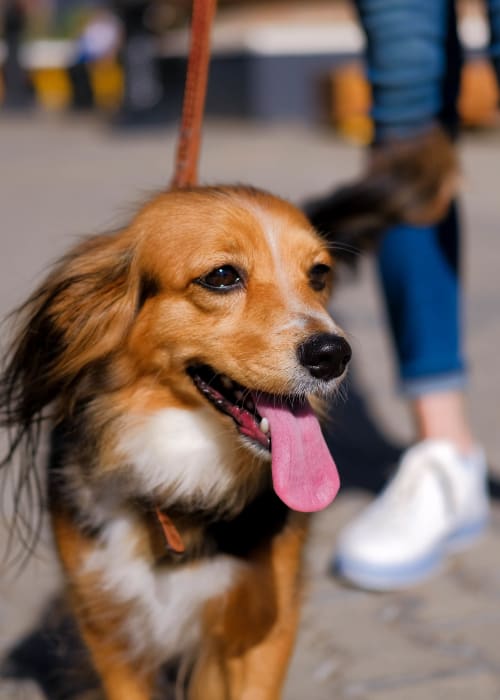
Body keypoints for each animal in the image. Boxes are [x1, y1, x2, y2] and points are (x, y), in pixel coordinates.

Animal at [0, 183, 352, 696]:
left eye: (319, 275)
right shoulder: (109, 624)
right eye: (222, 276)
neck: (182, 466)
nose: (333, 355)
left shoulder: (265, 623)